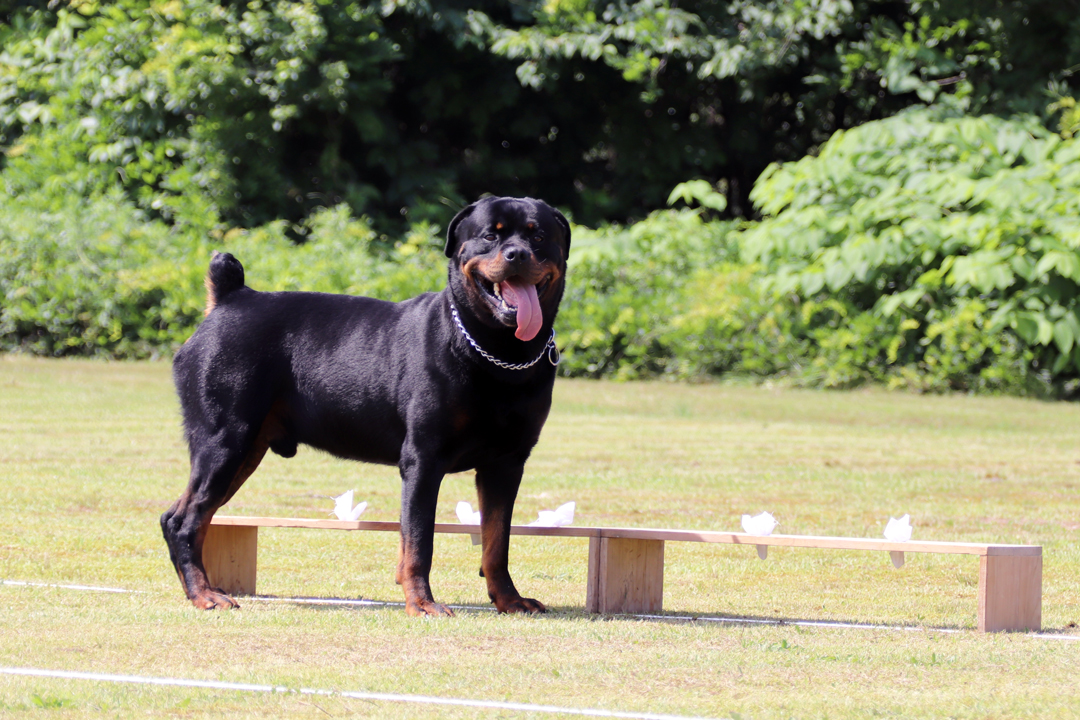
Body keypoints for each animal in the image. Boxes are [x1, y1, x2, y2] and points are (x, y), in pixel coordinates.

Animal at [159, 195, 570, 613]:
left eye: (538, 235)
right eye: (490, 236)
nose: (517, 253)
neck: (495, 351)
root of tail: (230, 298)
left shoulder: (506, 463)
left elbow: (497, 540)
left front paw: (509, 599)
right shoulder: (424, 459)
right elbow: (420, 540)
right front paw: (422, 603)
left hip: (244, 450)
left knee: (189, 516)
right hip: (224, 441)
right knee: (184, 520)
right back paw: (204, 594)